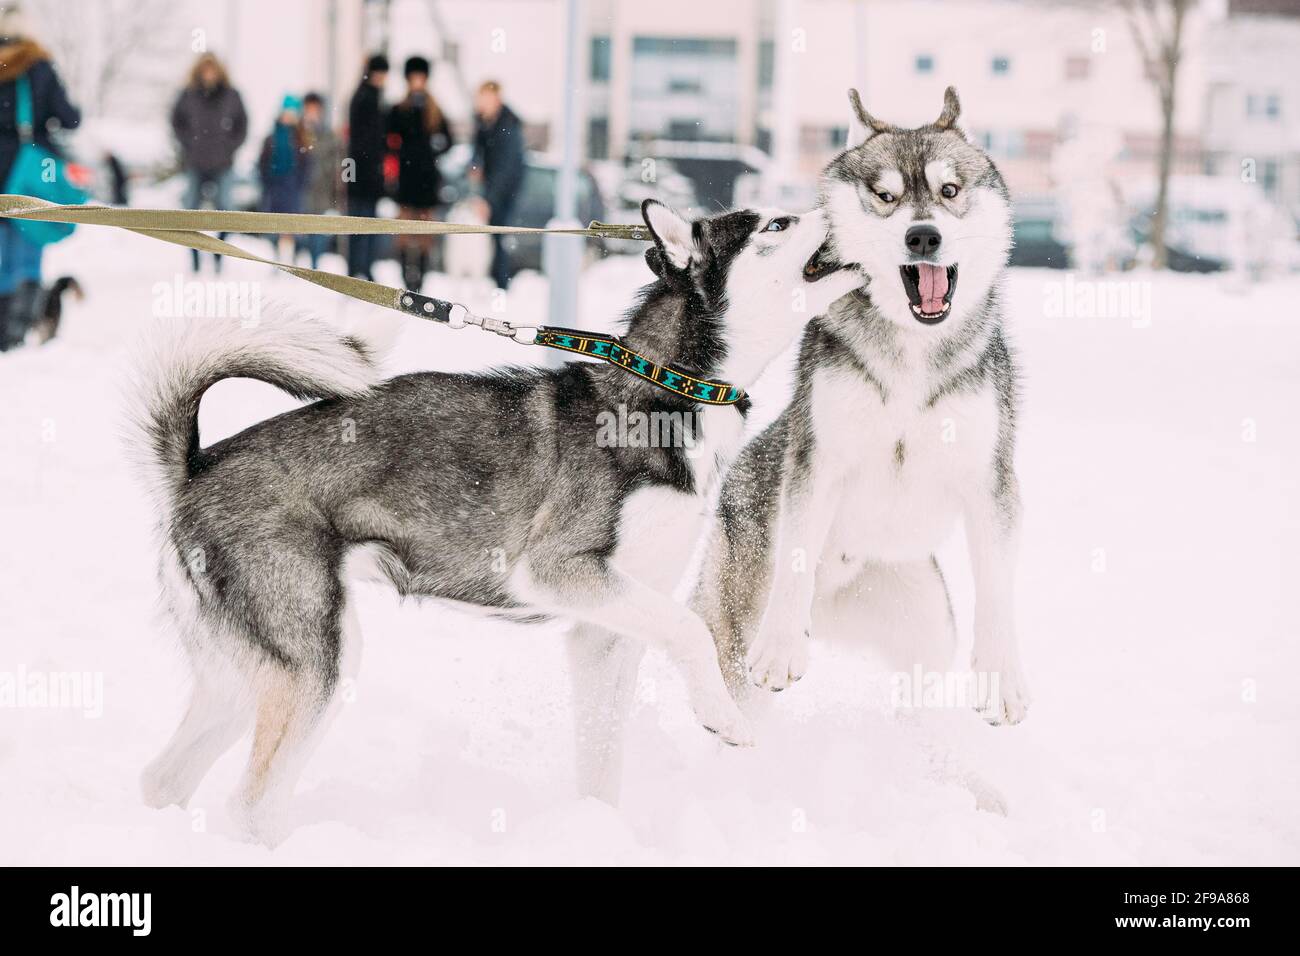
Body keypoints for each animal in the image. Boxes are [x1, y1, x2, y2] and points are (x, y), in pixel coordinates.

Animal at [131, 197, 863, 842]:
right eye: (776, 223)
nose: (849, 201)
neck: (669, 387)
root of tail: (197, 464)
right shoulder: (555, 569)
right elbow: (691, 632)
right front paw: (721, 716)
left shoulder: (606, 632)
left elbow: (604, 763)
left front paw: (598, 834)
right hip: (318, 660)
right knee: (252, 804)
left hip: (245, 675)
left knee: (164, 779)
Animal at [691, 87, 1024, 723]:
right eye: (886, 196)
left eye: (950, 190)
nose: (923, 237)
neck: (912, 350)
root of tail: (828, 604)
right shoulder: (817, 460)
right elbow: (796, 550)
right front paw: (780, 648)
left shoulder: (989, 477)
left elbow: (998, 583)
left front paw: (1001, 678)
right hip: (738, 619)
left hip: (925, 622)